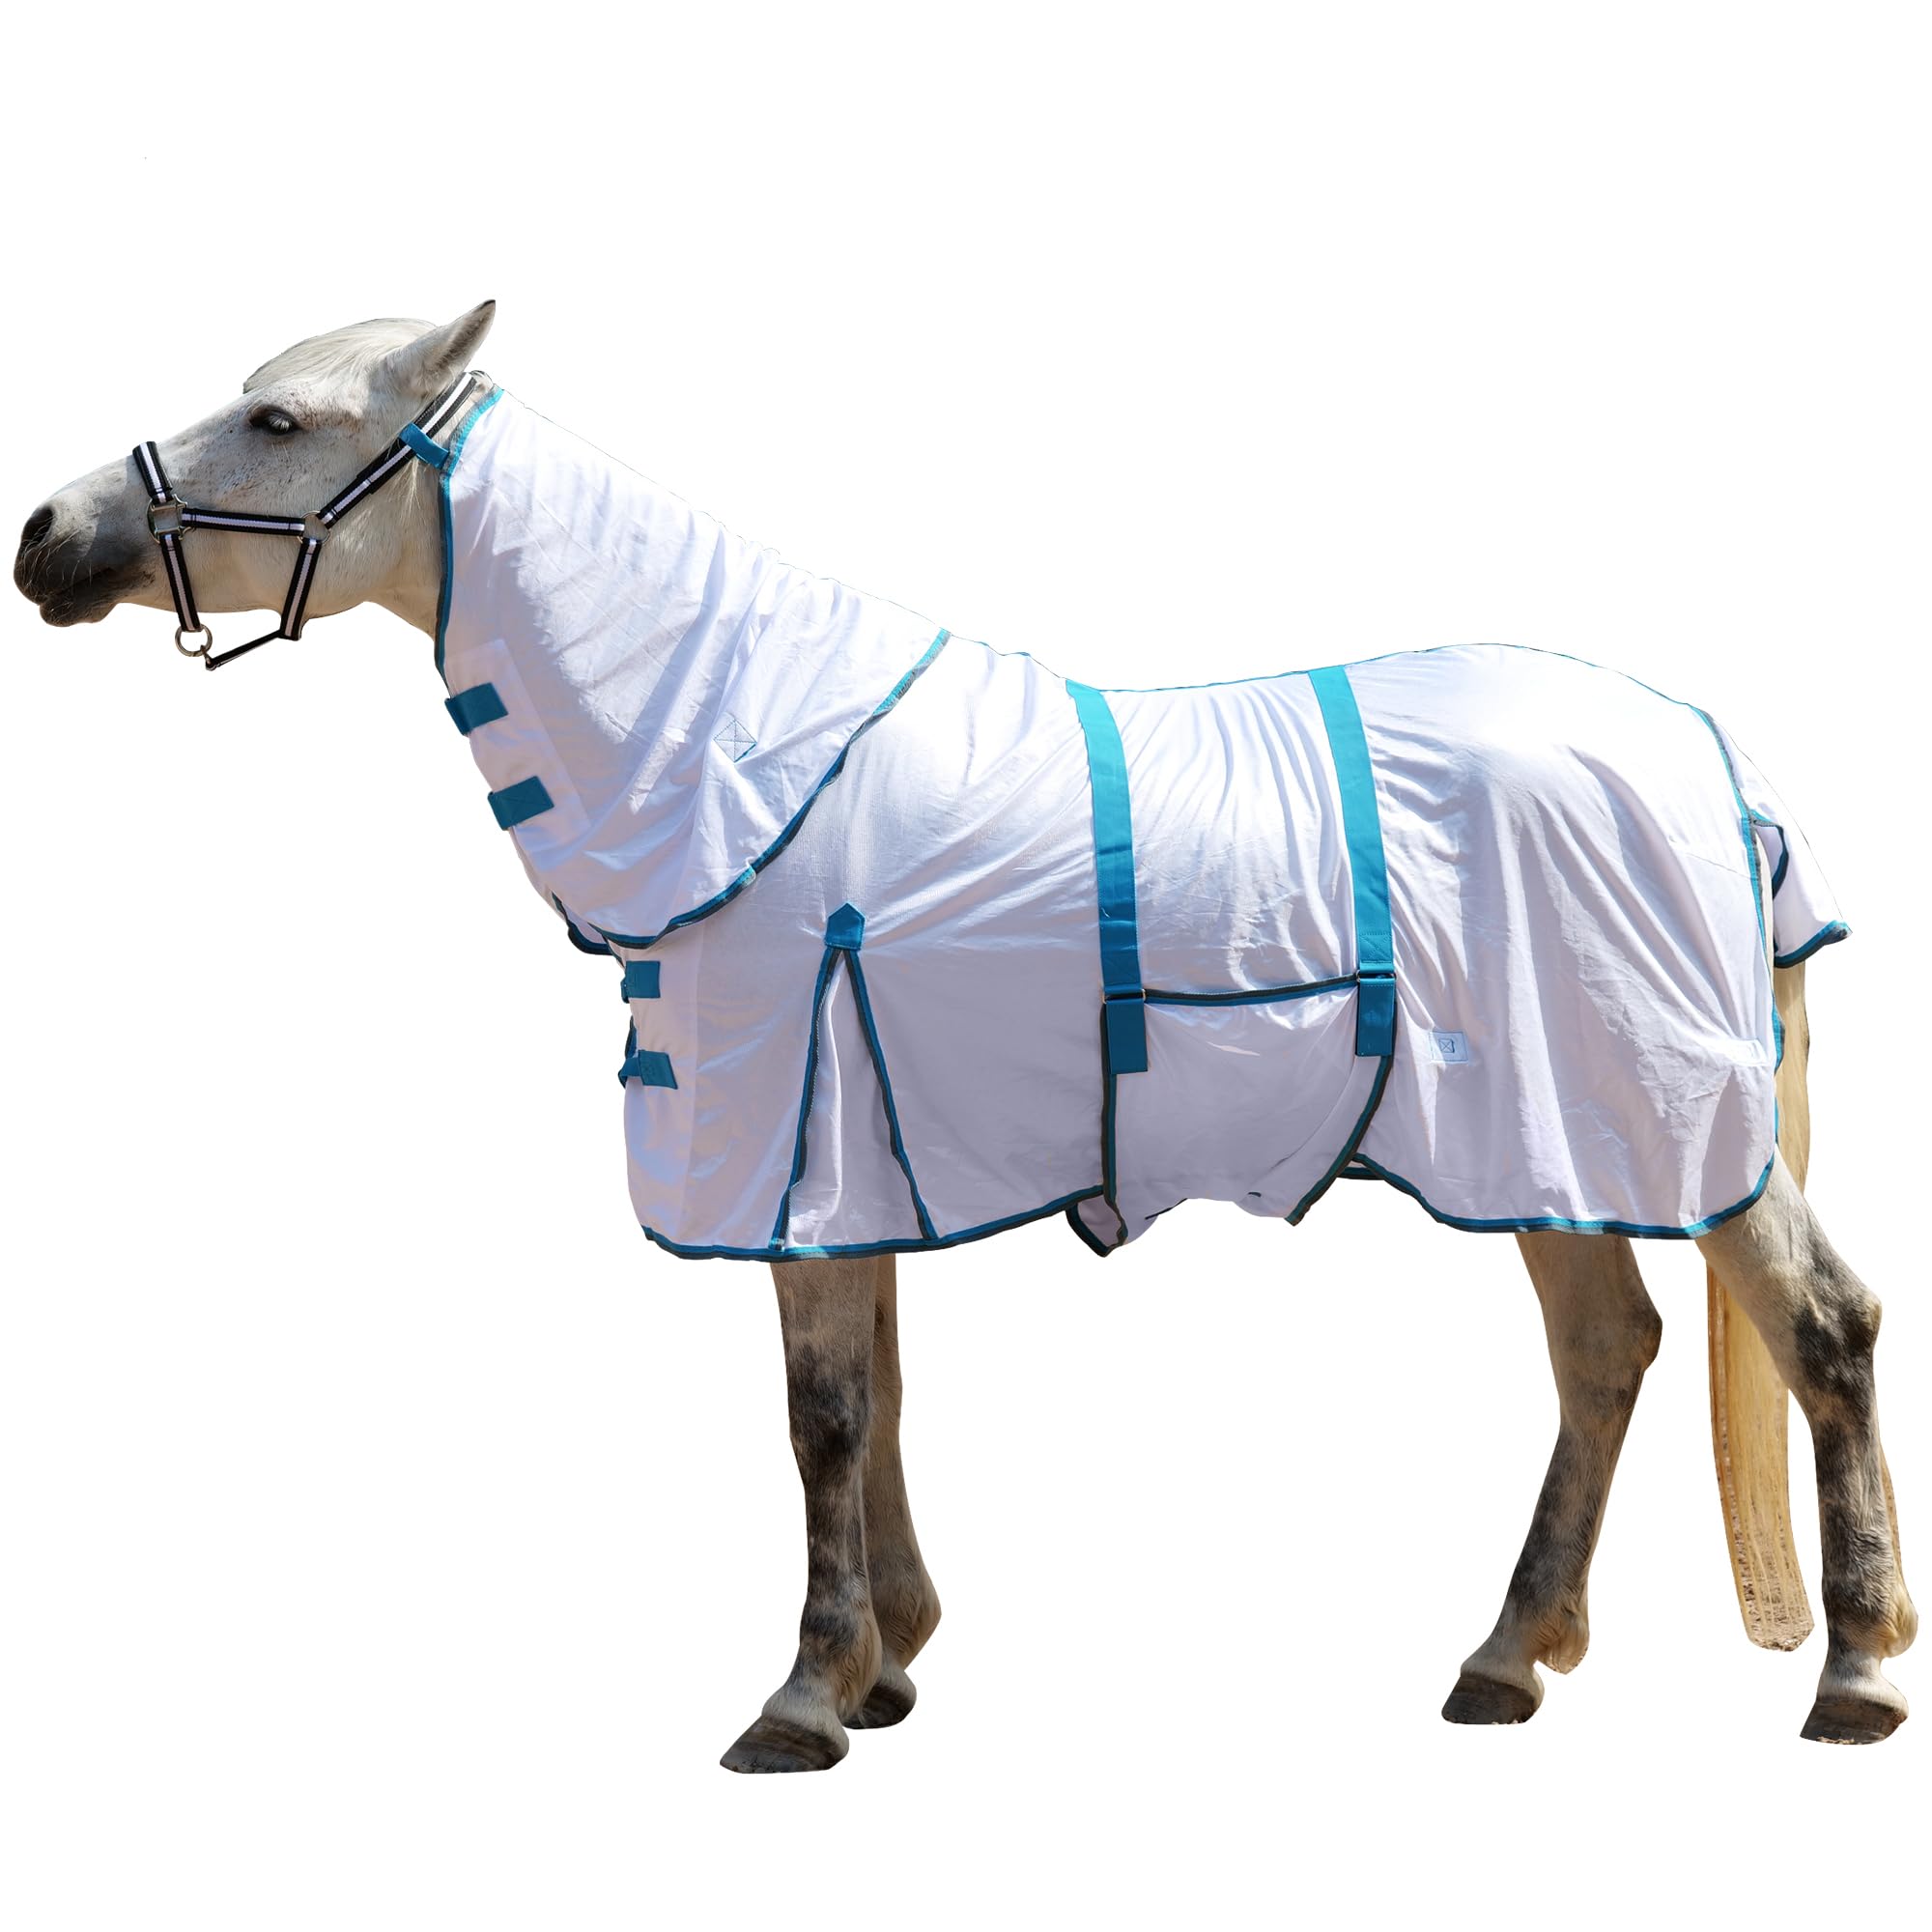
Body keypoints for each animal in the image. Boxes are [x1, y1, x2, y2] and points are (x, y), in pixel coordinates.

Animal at [15, 302, 1916, 1771]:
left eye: (280, 420)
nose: (45, 536)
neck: (749, 749)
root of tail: (1711, 758)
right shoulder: (862, 1161)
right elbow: (878, 1396)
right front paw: (888, 1662)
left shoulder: (801, 1149)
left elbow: (823, 1414)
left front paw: (803, 1694)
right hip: (1551, 1143)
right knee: (1604, 1352)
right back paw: (1507, 1661)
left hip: (1658, 1126)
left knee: (1822, 1328)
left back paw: (1856, 1674)